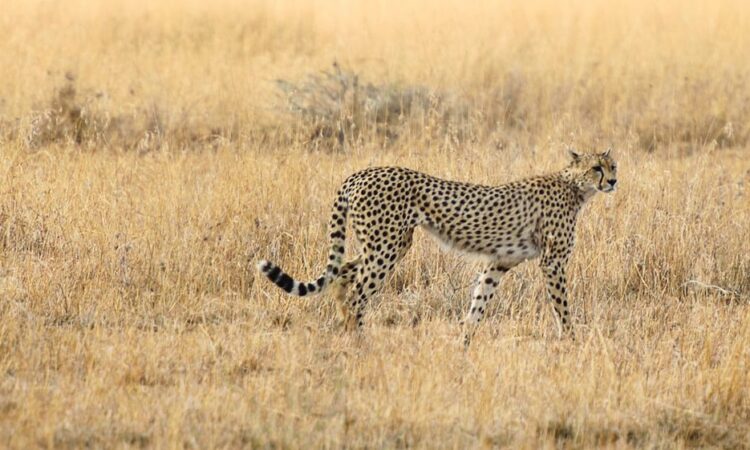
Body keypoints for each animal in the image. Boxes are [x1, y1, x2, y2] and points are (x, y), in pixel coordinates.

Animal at [257, 149, 617, 344]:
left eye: (612, 166)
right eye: (596, 168)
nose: (614, 181)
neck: (575, 187)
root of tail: (360, 174)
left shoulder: (498, 261)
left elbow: (478, 302)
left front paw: (464, 343)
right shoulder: (552, 262)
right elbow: (562, 306)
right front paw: (571, 341)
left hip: (388, 243)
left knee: (341, 278)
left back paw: (347, 334)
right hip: (386, 245)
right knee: (357, 292)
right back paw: (360, 342)